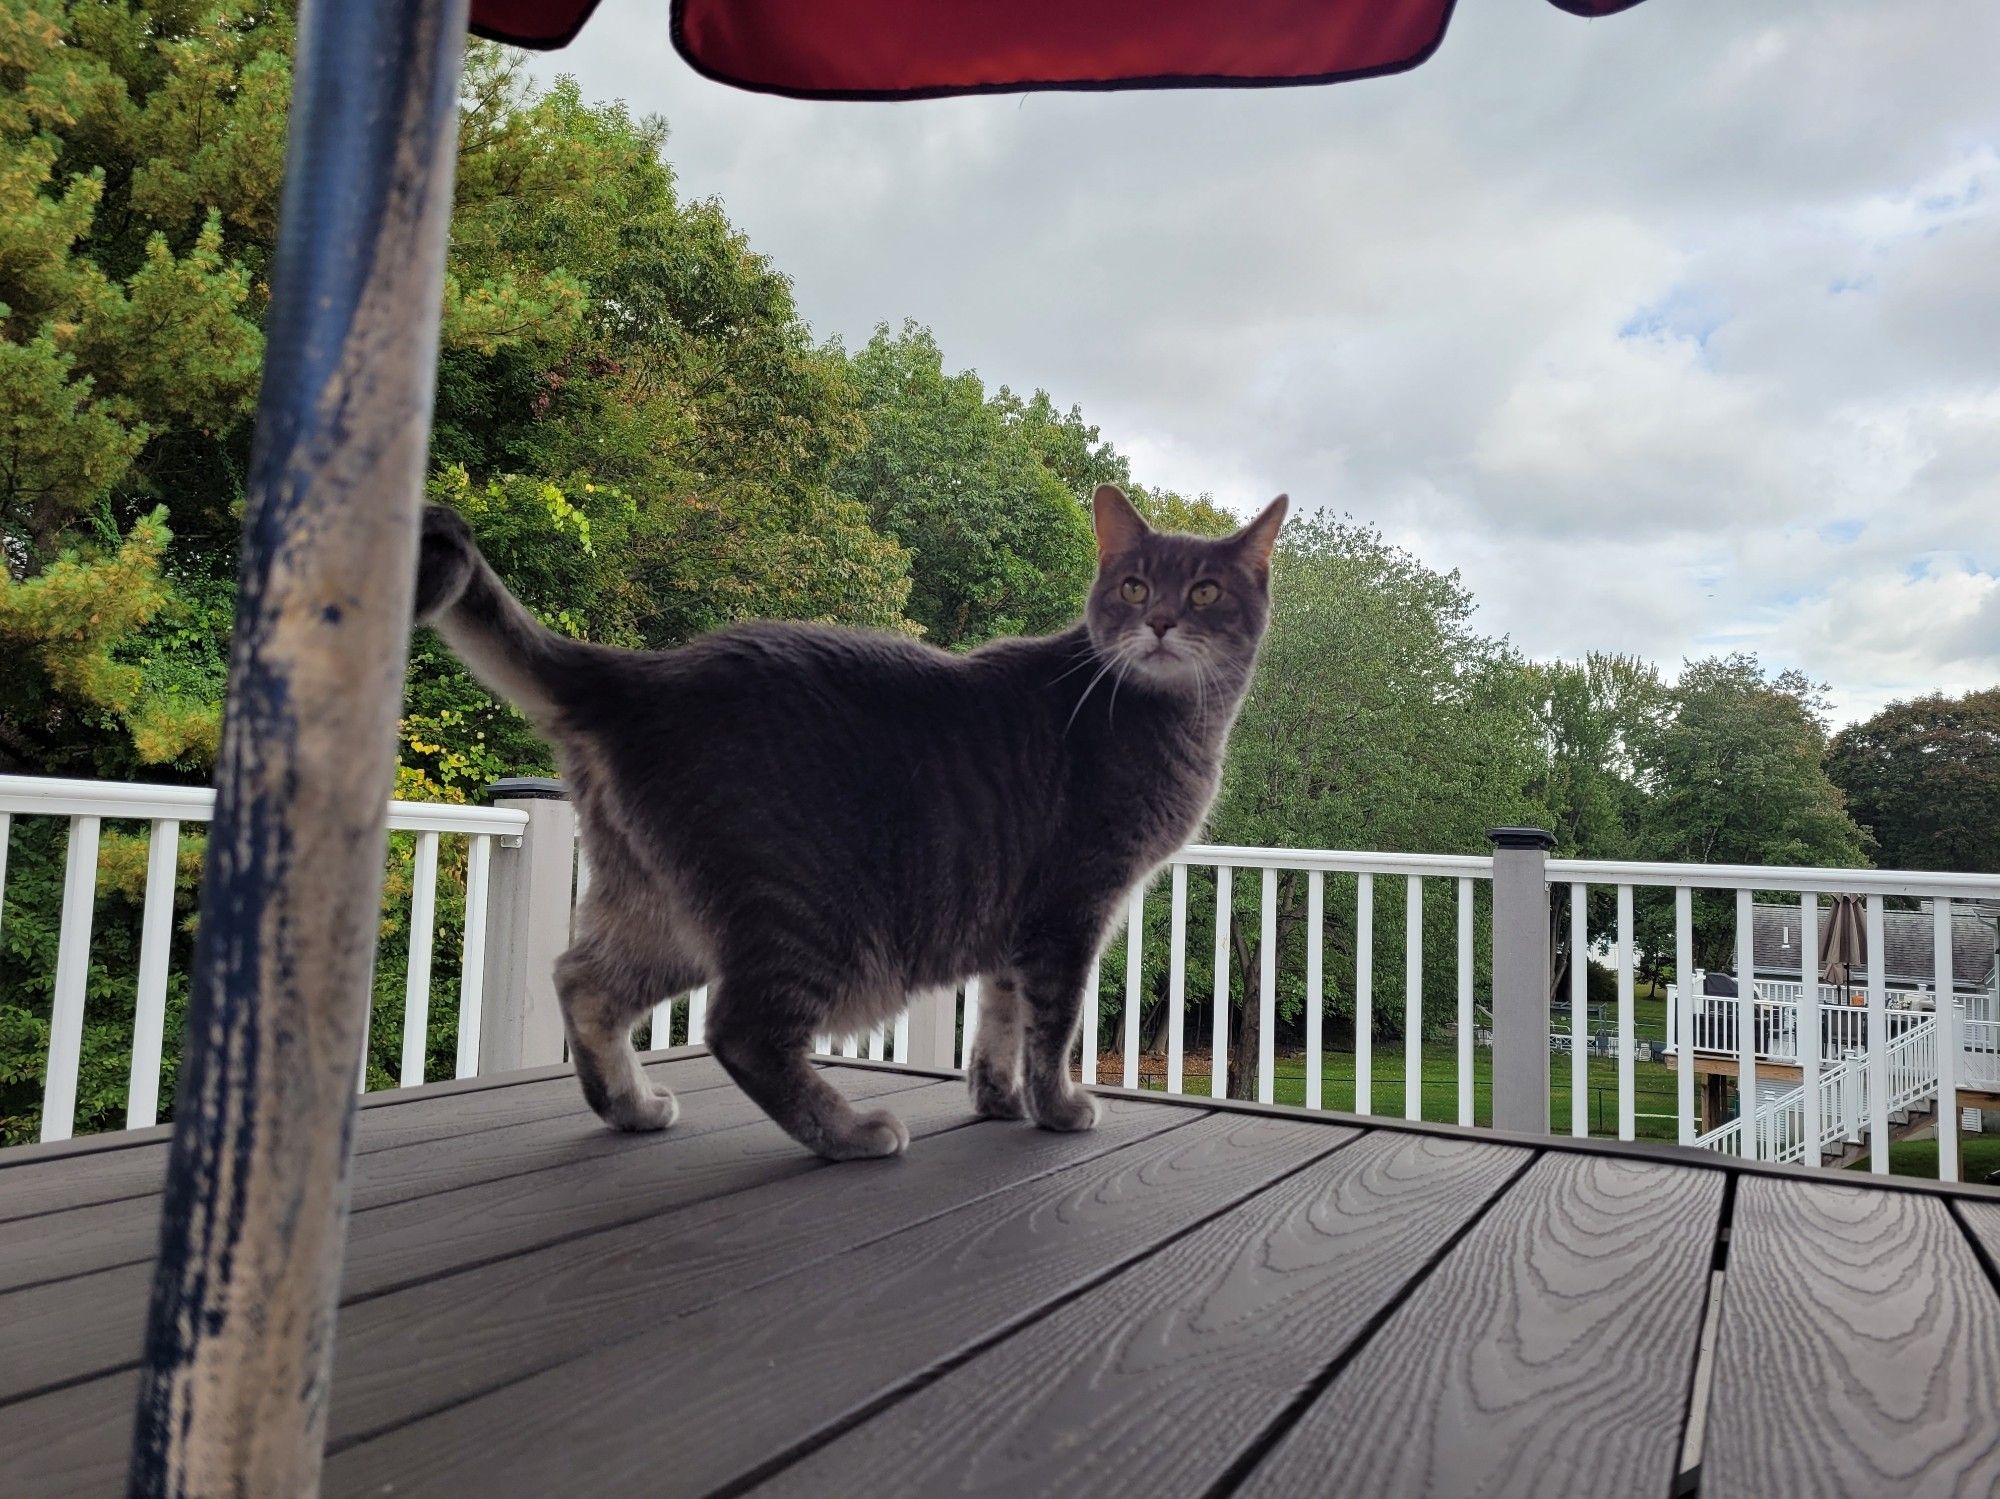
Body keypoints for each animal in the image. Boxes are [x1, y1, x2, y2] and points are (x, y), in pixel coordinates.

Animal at [414, 487, 1288, 1167]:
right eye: (1136, 587)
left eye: (1205, 592)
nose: (1163, 621)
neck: (1167, 712)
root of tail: (648, 674)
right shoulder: (1072, 909)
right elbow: (1052, 1024)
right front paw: (1057, 1107)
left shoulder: (1015, 918)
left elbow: (1000, 1017)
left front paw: (997, 1097)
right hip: (808, 913)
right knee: (741, 1028)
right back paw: (849, 1131)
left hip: (661, 907)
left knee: (581, 979)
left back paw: (629, 1105)